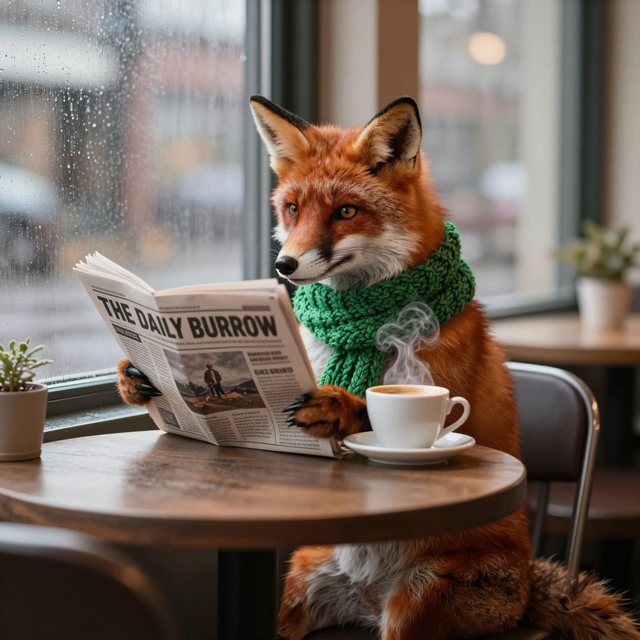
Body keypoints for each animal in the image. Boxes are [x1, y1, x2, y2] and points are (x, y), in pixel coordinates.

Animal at [117, 96, 640, 640]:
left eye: (346, 211)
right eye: (293, 209)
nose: (284, 266)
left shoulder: (445, 397)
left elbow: (398, 420)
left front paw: (341, 407)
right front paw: (137, 378)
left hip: (412, 606)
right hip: (298, 589)